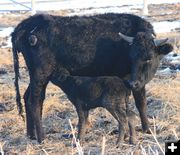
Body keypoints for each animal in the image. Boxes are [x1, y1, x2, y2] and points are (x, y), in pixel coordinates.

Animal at [11, 13, 173, 143]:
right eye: (131, 56)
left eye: (149, 58)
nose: (133, 82)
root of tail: (25, 24)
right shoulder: (128, 80)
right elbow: (139, 103)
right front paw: (146, 129)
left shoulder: (135, 83)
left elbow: (139, 103)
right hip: (41, 74)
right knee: (34, 100)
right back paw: (41, 137)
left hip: (35, 75)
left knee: (27, 97)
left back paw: (31, 135)